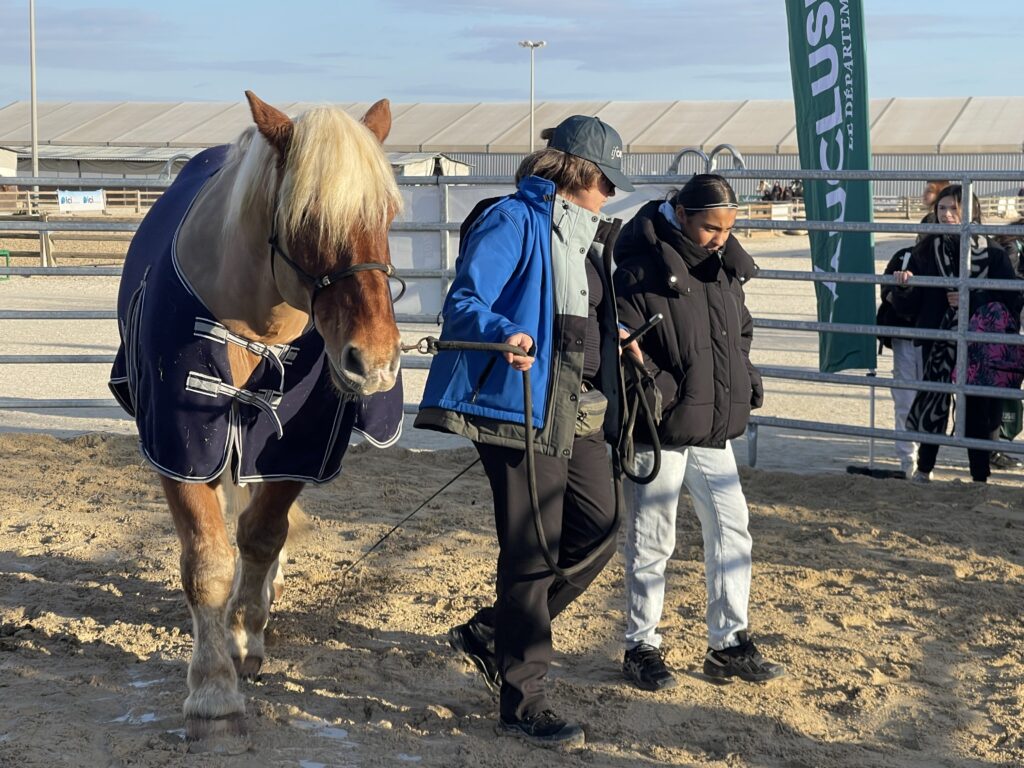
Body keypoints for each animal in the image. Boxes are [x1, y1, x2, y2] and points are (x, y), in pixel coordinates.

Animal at [108, 91, 405, 752]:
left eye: (388, 214)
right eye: (308, 218)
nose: (373, 362)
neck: (256, 327)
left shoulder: (296, 448)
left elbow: (265, 535)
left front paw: (246, 636)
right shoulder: (181, 444)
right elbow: (207, 561)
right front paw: (214, 695)